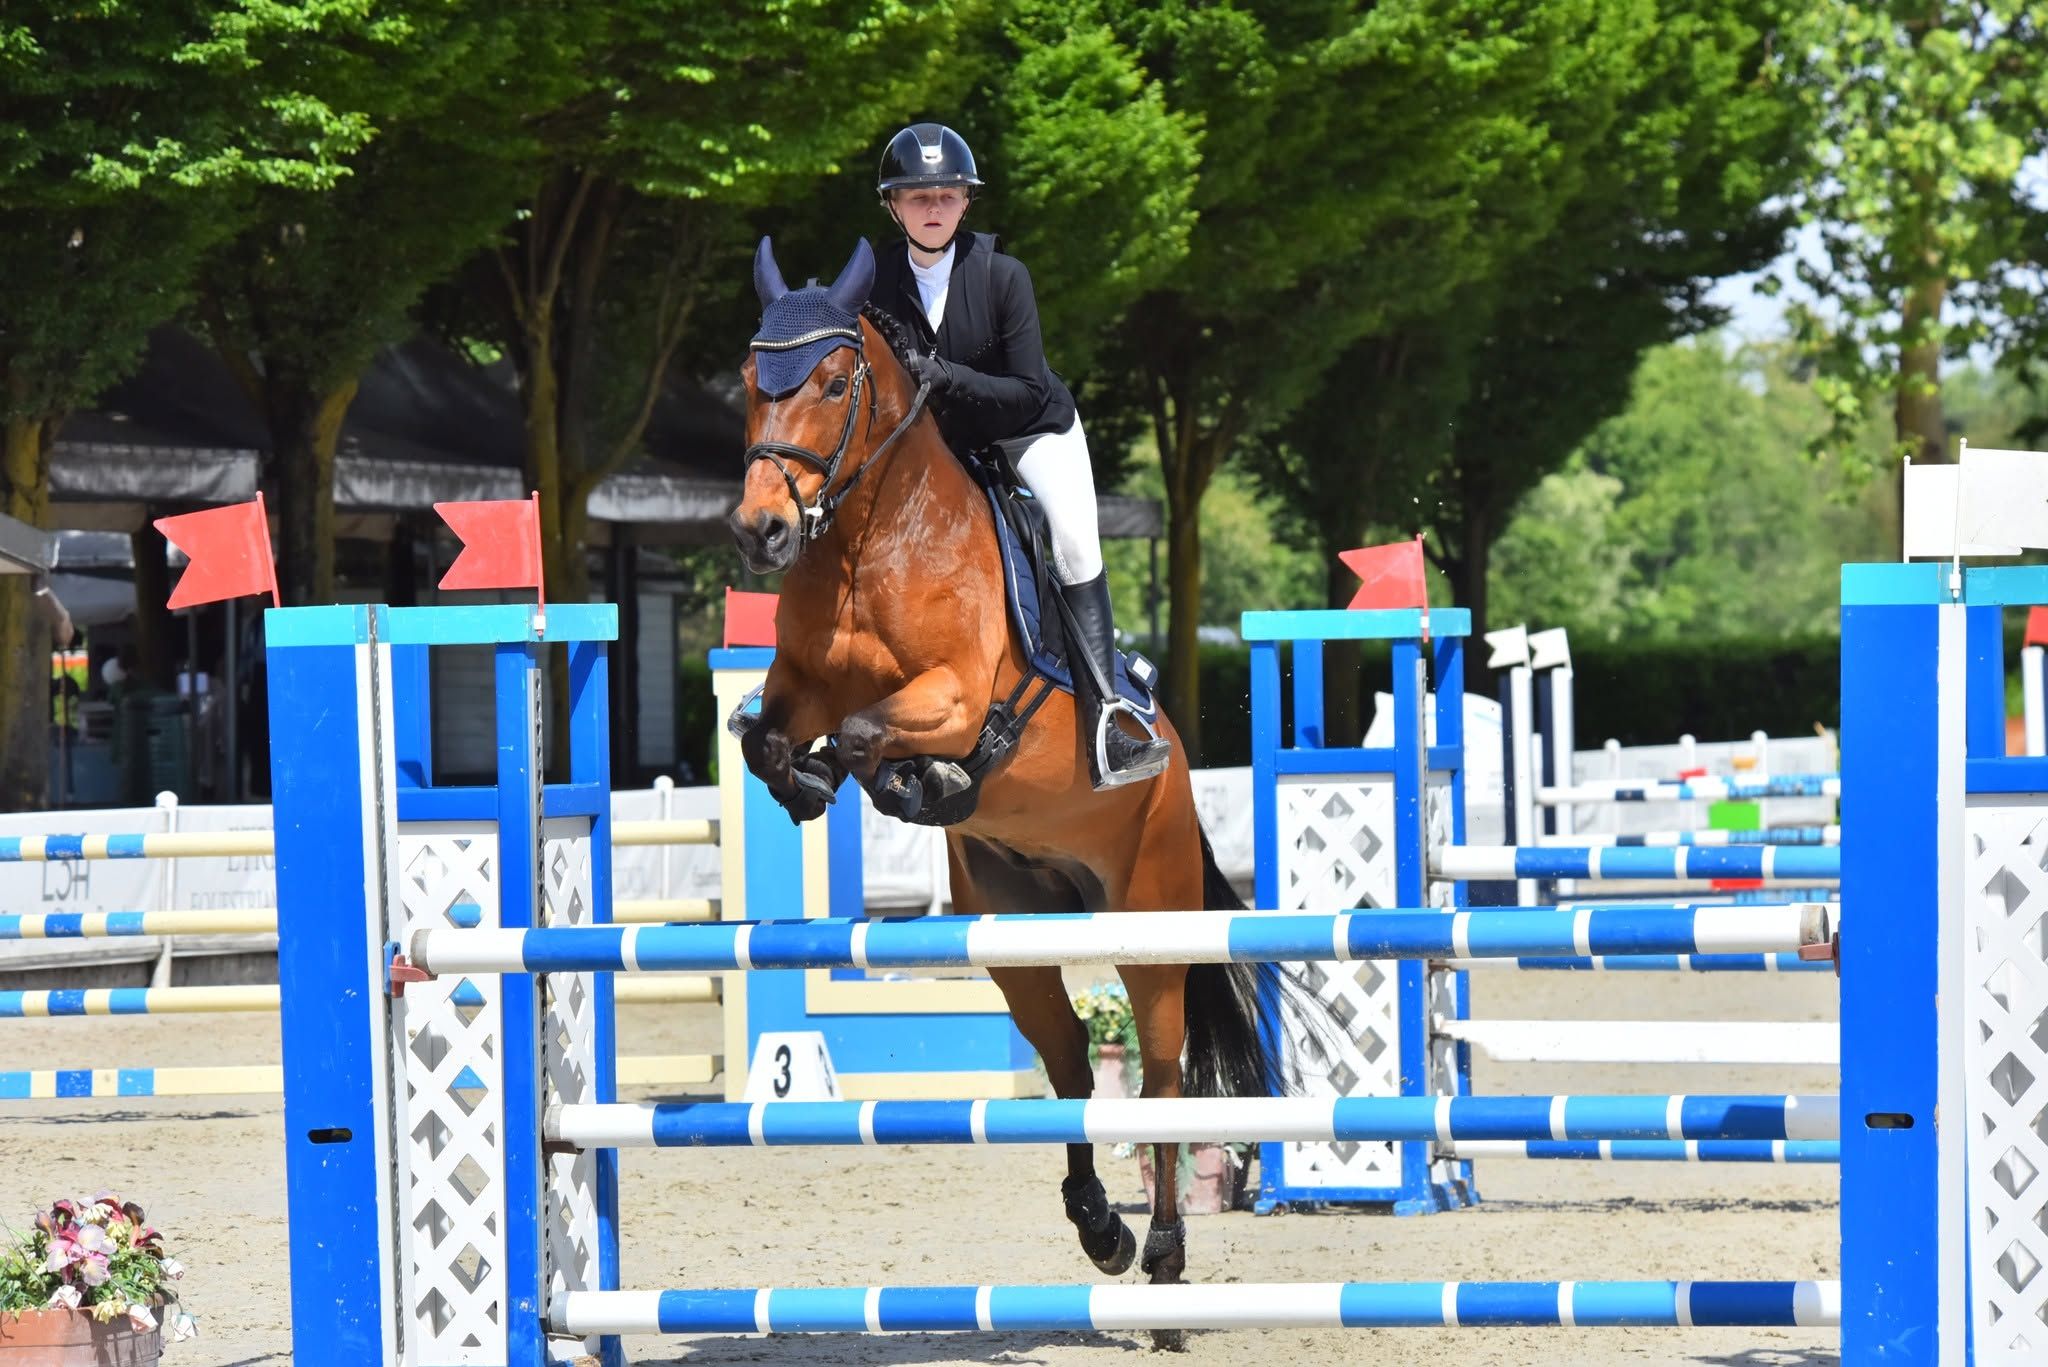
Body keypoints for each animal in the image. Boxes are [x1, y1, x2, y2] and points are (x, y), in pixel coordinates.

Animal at [727, 237, 1282, 1350]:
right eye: (747, 383)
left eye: (834, 382)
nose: (761, 531)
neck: (869, 540)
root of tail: (1174, 773)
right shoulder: (796, 683)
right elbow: (770, 736)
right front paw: (812, 779)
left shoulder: (953, 691)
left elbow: (876, 731)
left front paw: (923, 777)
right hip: (1013, 925)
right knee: (1069, 1063)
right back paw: (1099, 1228)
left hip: (1149, 916)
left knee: (1158, 1077)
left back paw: (1164, 1266)